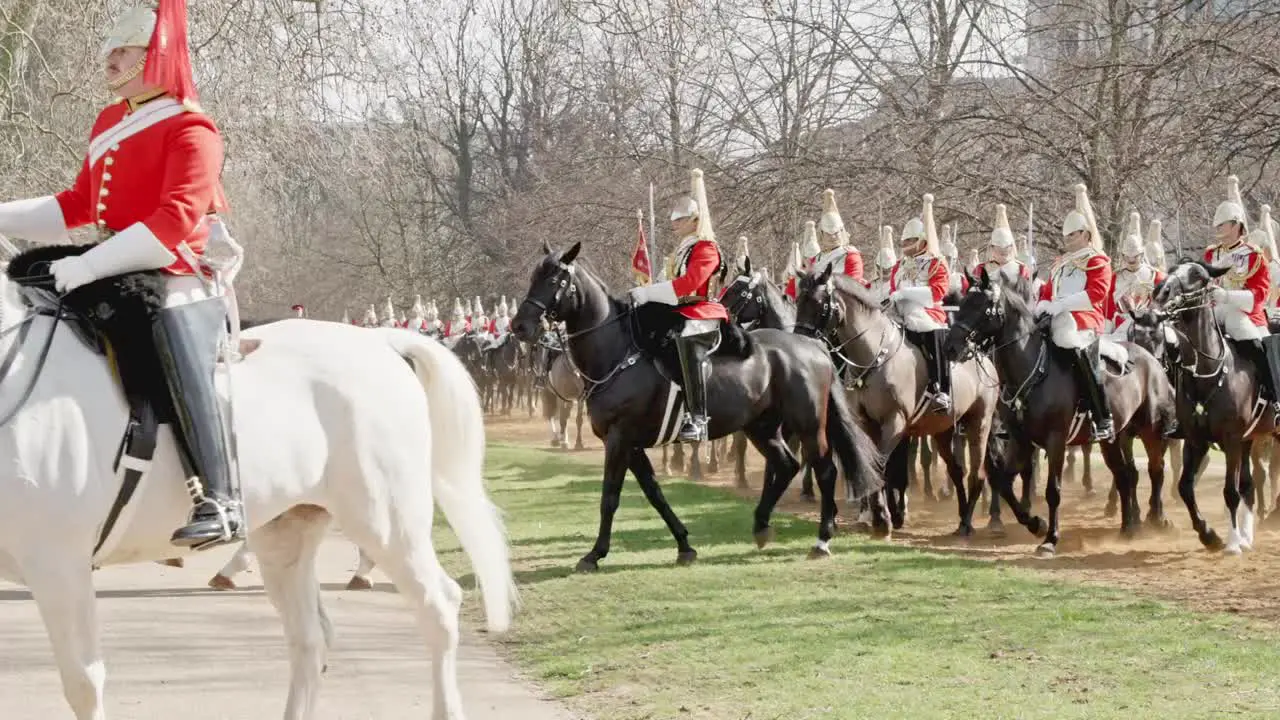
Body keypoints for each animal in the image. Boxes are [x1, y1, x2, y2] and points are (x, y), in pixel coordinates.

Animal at [0, 267, 514, 712]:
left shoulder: (59, 566)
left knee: (438, 608)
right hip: (286, 535)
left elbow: (83, 684)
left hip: (386, 520)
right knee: (309, 641)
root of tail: (379, 342)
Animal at [509, 240, 890, 566]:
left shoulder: (619, 439)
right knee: (785, 465)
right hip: (761, 426)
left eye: (555, 279)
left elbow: (610, 498)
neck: (618, 352)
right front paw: (684, 545)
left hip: (808, 424)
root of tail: (814, 346)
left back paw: (822, 540)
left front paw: (594, 554)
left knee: (824, 470)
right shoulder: (632, 444)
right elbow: (655, 494)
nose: (520, 326)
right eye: (532, 277)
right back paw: (761, 527)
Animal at [788, 263, 998, 532]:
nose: (799, 341)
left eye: (820, 303)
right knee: (956, 469)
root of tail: (980, 356)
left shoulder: (894, 422)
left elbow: (881, 465)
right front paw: (881, 513)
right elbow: (874, 464)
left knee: (977, 471)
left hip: (979, 424)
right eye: (798, 300)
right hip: (943, 430)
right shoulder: (866, 424)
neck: (875, 356)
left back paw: (970, 520)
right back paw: (962, 515)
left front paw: (882, 517)